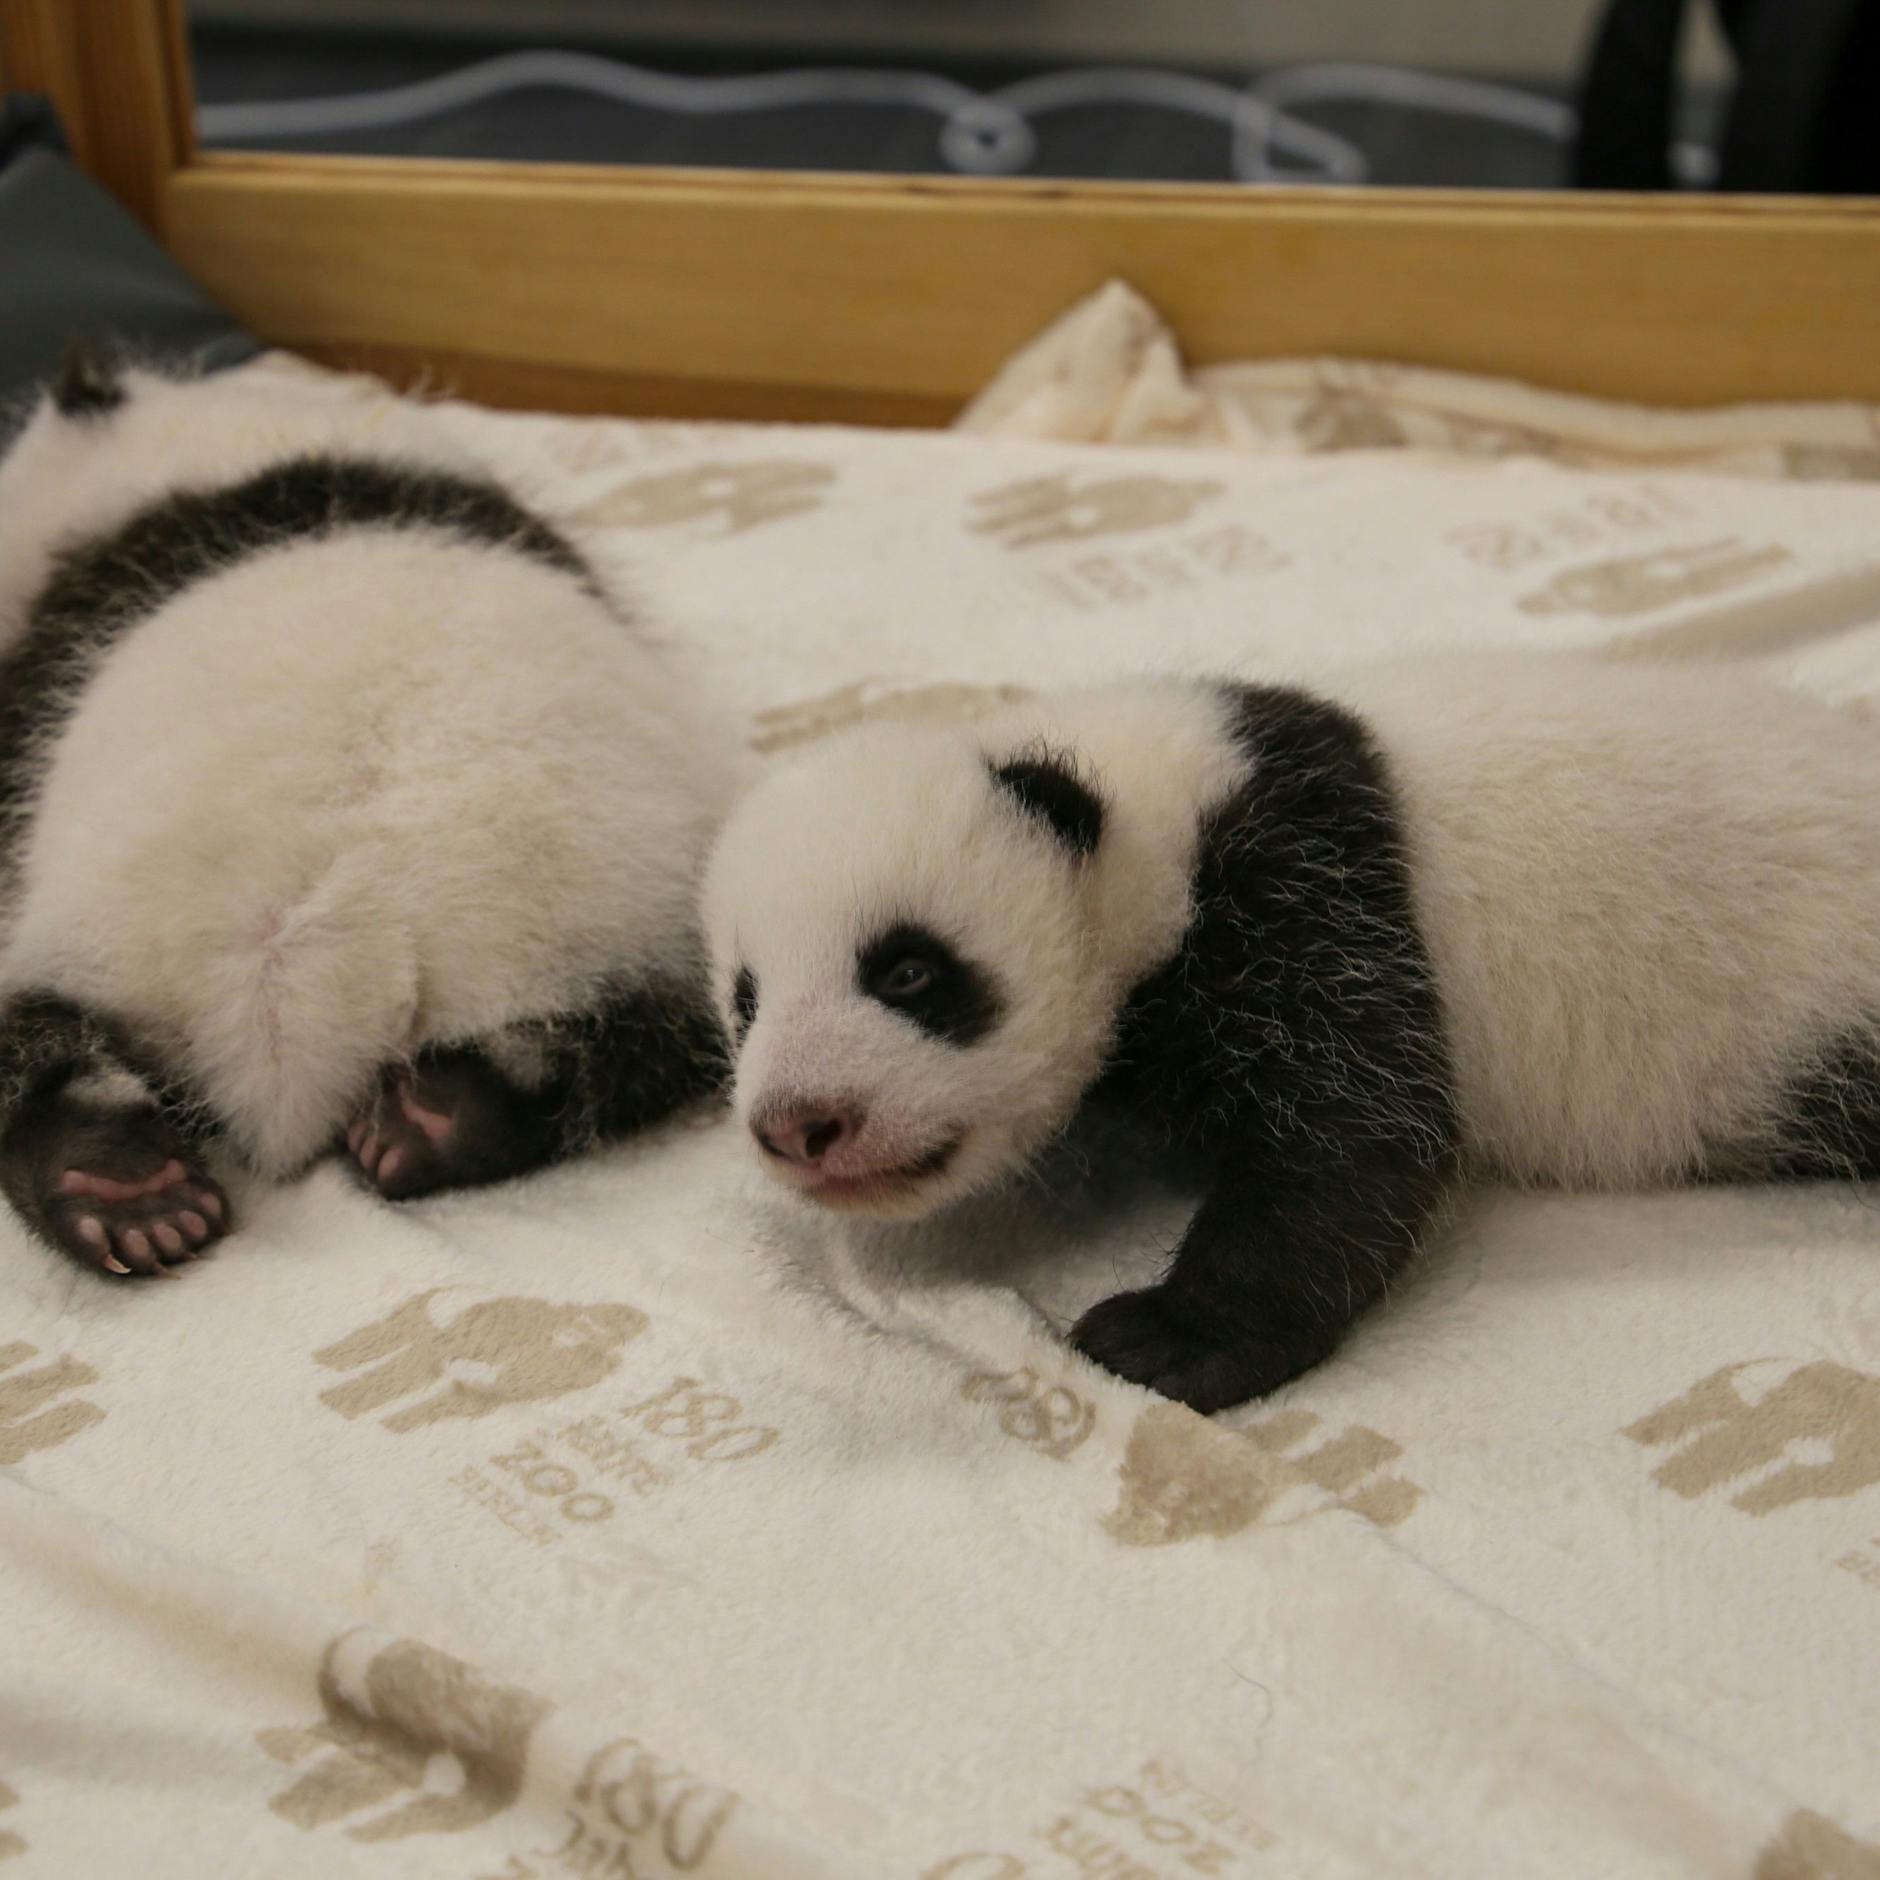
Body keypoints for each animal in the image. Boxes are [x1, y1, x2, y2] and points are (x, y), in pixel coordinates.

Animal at [703, 655, 1880, 1412]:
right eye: (745, 999)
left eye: (907, 970)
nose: (799, 1123)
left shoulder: (1305, 883)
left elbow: (1361, 1132)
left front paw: (1161, 1341)